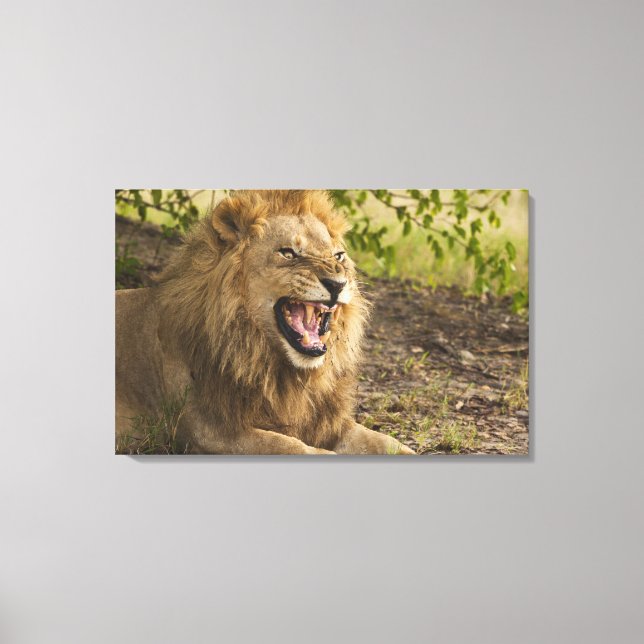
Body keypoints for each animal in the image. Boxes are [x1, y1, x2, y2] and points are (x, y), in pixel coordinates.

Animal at [116, 190, 414, 455]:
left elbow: (385, 442)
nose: (338, 284)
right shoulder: (208, 429)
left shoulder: (327, 423)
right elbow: (291, 446)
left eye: (338, 256)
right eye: (288, 253)